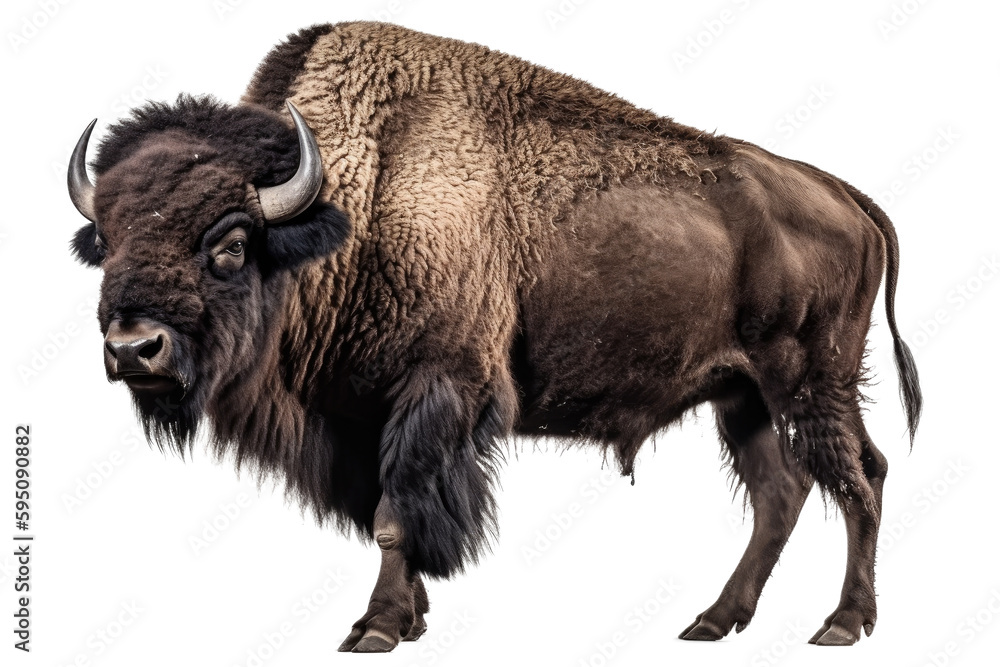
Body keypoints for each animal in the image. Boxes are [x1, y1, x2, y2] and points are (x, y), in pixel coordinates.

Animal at [68, 22, 921, 652]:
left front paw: (376, 629)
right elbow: (387, 510)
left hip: (809, 378)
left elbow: (396, 511)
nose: (133, 348)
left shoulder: (438, 389)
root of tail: (846, 195)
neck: (353, 204)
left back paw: (842, 623)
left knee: (861, 475)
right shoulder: (364, 415)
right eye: (104, 240)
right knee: (783, 488)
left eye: (231, 243)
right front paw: (404, 618)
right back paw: (714, 621)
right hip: (739, 395)